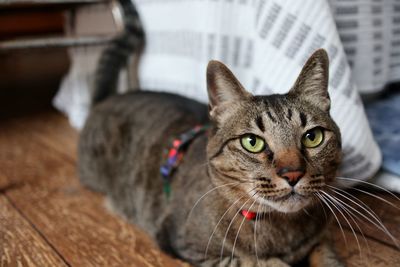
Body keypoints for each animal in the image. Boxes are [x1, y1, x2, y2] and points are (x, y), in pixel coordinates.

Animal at [78, 0, 344, 266]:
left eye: (312, 137)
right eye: (252, 142)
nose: (293, 173)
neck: (284, 229)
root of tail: (109, 98)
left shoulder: (319, 240)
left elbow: (328, 256)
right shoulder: (186, 245)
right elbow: (257, 261)